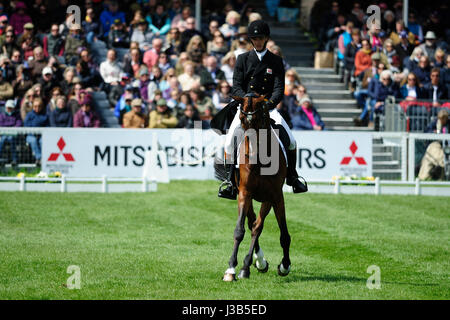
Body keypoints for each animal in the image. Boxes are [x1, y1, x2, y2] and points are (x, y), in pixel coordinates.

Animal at [215, 94, 292, 282]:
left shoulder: (274, 196)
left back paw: (260, 262)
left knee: (256, 225)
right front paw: (232, 269)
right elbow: (241, 230)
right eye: (242, 120)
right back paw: (258, 261)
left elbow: (276, 232)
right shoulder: (245, 193)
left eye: (260, 119)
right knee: (250, 223)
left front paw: (284, 265)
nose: (250, 154)